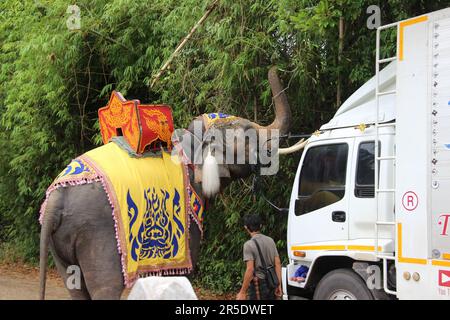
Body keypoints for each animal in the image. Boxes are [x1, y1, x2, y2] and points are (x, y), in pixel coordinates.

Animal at [38, 66, 306, 298]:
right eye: (248, 134)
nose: (276, 68)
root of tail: (55, 200)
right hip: (95, 233)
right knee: (105, 287)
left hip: (61, 243)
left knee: (75, 286)